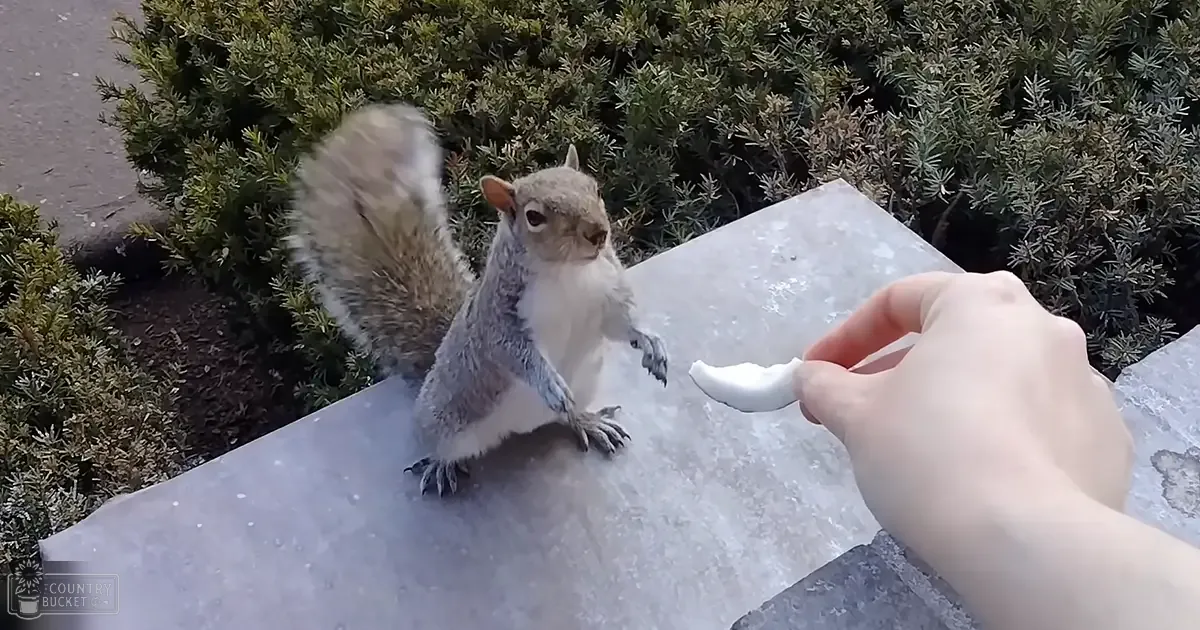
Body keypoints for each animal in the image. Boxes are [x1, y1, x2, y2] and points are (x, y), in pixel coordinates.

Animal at [286, 103, 670, 497]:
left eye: (594, 189)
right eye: (534, 217)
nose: (598, 233)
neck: (570, 272)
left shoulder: (608, 292)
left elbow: (622, 322)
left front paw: (651, 342)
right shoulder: (497, 318)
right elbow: (513, 352)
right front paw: (547, 381)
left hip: (585, 382)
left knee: (567, 416)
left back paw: (587, 421)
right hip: (445, 420)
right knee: (442, 444)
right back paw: (440, 465)